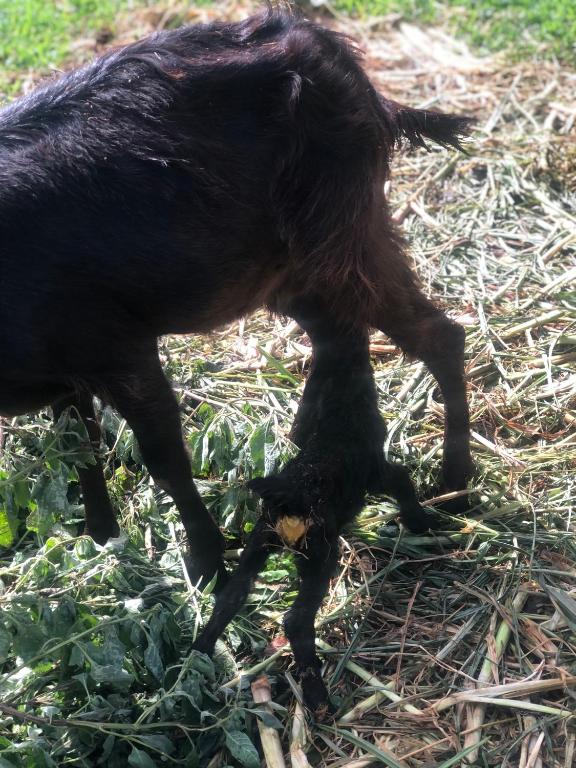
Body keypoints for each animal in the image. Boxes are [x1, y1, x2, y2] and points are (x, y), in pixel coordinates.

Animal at [0, 7, 473, 590]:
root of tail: (325, 44)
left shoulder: (117, 344)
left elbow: (164, 459)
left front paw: (206, 566)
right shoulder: (67, 367)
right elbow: (81, 451)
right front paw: (101, 537)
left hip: (347, 231)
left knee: (437, 335)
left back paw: (454, 484)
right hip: (290, 268)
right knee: (339, 339)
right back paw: (306, 445)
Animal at [193, 300, 431, 716]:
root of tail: (291, 494)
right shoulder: (376, 471)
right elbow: (403, 482)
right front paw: (421, 522)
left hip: (262, 538)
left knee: (232, 594)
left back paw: (201, 649)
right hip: (319, 551)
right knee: (296, 618)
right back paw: (318, 695)